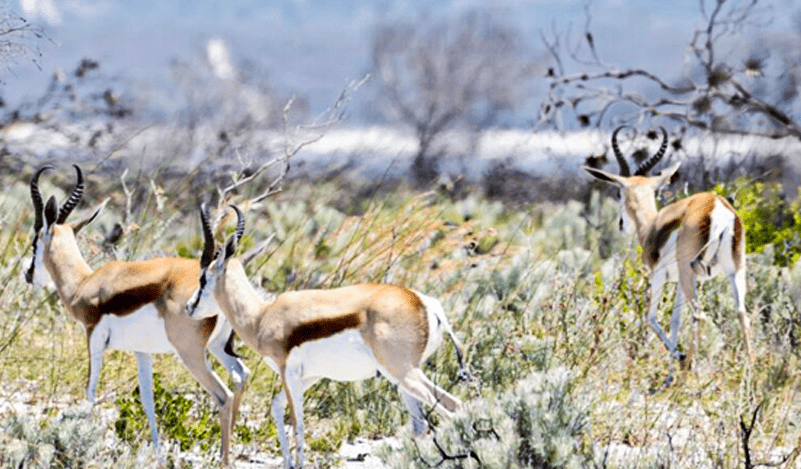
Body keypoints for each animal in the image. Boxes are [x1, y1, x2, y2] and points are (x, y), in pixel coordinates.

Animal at [25, 164, 250, 467]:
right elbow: (148, 399)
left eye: (34, 240)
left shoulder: (93, 337)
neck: (85, 283)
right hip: (216, 348)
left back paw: (223, 459)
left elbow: (90, 389)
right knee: (241, 376)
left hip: (191, 354)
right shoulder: (141, 351)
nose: (28, 274)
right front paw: (158, 456)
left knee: (223, 395)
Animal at [185, 205, 468, 469]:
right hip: (402, 377)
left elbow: (297, 423)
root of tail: (424, 302)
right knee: (441, 414)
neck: (262, 316)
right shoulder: (309, 376)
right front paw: (289, 463)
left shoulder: (288, 372)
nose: (189, 307)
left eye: (203, 278)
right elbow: (277, 407)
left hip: (401, 372)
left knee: (450, 412)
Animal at [583, 126, 755, 384]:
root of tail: (717, 207)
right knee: (742, 314)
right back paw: (752, 375)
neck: (652, 226)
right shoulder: (679, 282)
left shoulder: (658, 275)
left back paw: (690, 369)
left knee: (699, 315)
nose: (622, 224)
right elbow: (675, 321)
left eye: (618, 192)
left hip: (688, 270)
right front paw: (669, 376)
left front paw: (679, 360)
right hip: (733, 271)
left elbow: (651, 318)